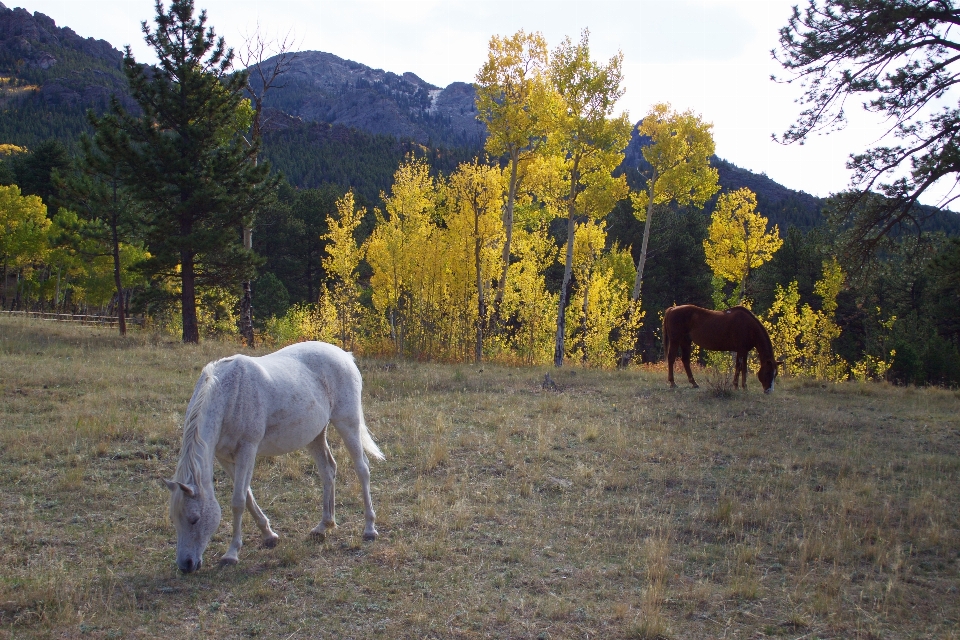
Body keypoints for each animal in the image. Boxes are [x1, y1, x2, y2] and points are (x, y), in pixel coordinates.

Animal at [162, 342, 382, 572]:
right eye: (174, 518)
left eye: (194, 519)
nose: (186, 565)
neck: (229, 394)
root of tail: (345, 356)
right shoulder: (224, 457)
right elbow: (248, 496)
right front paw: (269, 536)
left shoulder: (247, 450)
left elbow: (238, 501)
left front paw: (231, 553)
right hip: (314, 434)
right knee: (327, 470)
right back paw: (323, 526)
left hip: (347, 422)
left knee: (362, 469)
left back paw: (369, 529)